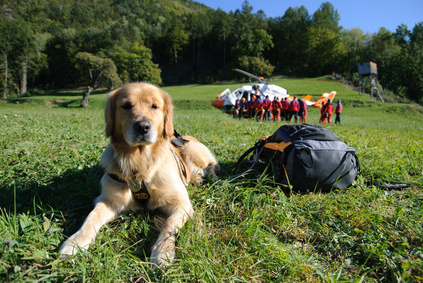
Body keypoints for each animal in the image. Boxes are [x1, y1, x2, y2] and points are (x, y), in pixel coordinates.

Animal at [60, 82, 219, 266]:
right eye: (126, 106)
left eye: (154, 106)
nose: (142, 126)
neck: (140, 162)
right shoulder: (108, 200)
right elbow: (91, 217)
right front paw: (75, 242)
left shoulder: (182, 203)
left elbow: (169, 224)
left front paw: (163, 252)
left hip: (191, 149)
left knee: (211, 165)